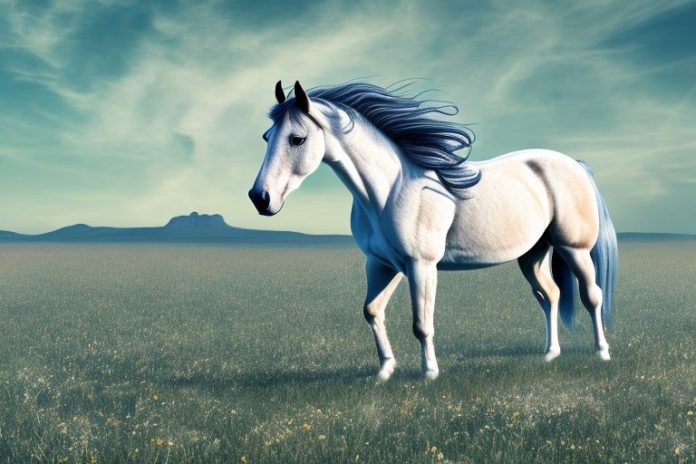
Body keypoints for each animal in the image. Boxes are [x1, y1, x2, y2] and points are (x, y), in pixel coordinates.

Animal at [248, 80, 618, 380]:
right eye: (267, 137)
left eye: (297, 138)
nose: (259, 198)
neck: (391, 189)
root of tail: (575, 164)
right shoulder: (383, 265)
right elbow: (372, 311)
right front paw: (385, 371)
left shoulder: (421, 266)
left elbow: (421, 324)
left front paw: (429, 373)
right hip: (532, 254)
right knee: (549, 295)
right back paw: (550, 354)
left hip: (574, 249)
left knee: (592, 295)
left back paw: (602, 352)